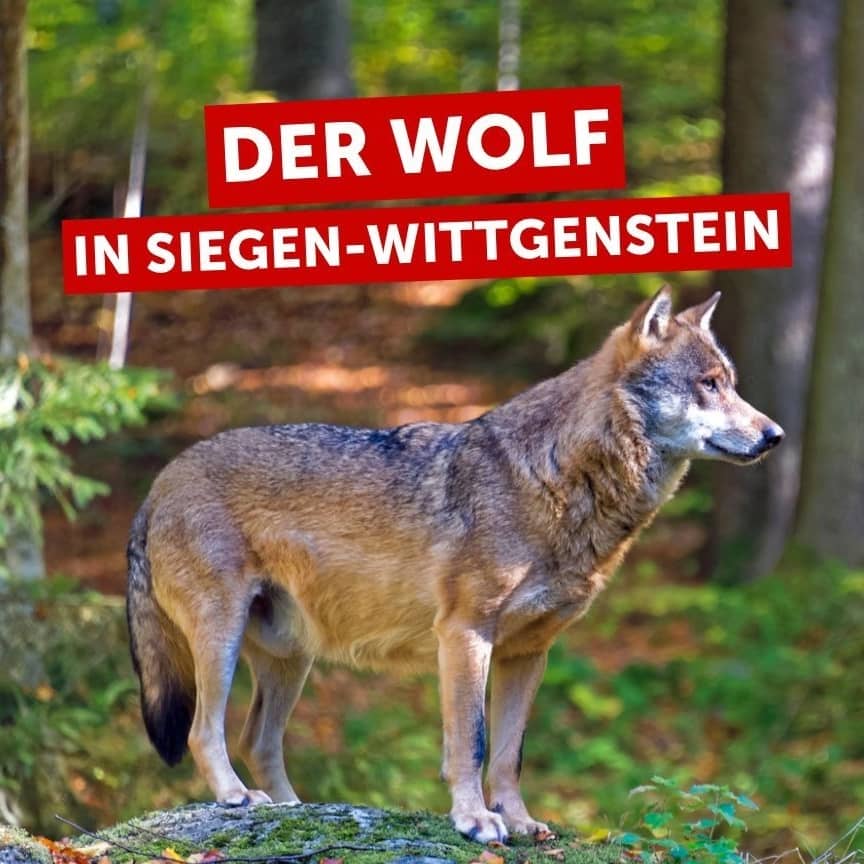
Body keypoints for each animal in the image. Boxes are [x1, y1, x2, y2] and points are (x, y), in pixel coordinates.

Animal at [127, 287, 783, 843]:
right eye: (708, 385)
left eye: (731, 384)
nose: (774, 434)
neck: (556, 479)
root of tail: (159, 481)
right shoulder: (466, 634)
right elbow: (472, 742)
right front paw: (475, 821)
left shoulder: (529, 653)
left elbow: (511, 754)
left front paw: (519, 821)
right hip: (223, 639)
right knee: (204, 731)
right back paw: (235, 798)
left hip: (292, 658)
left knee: (257, 739)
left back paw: (292, 810)